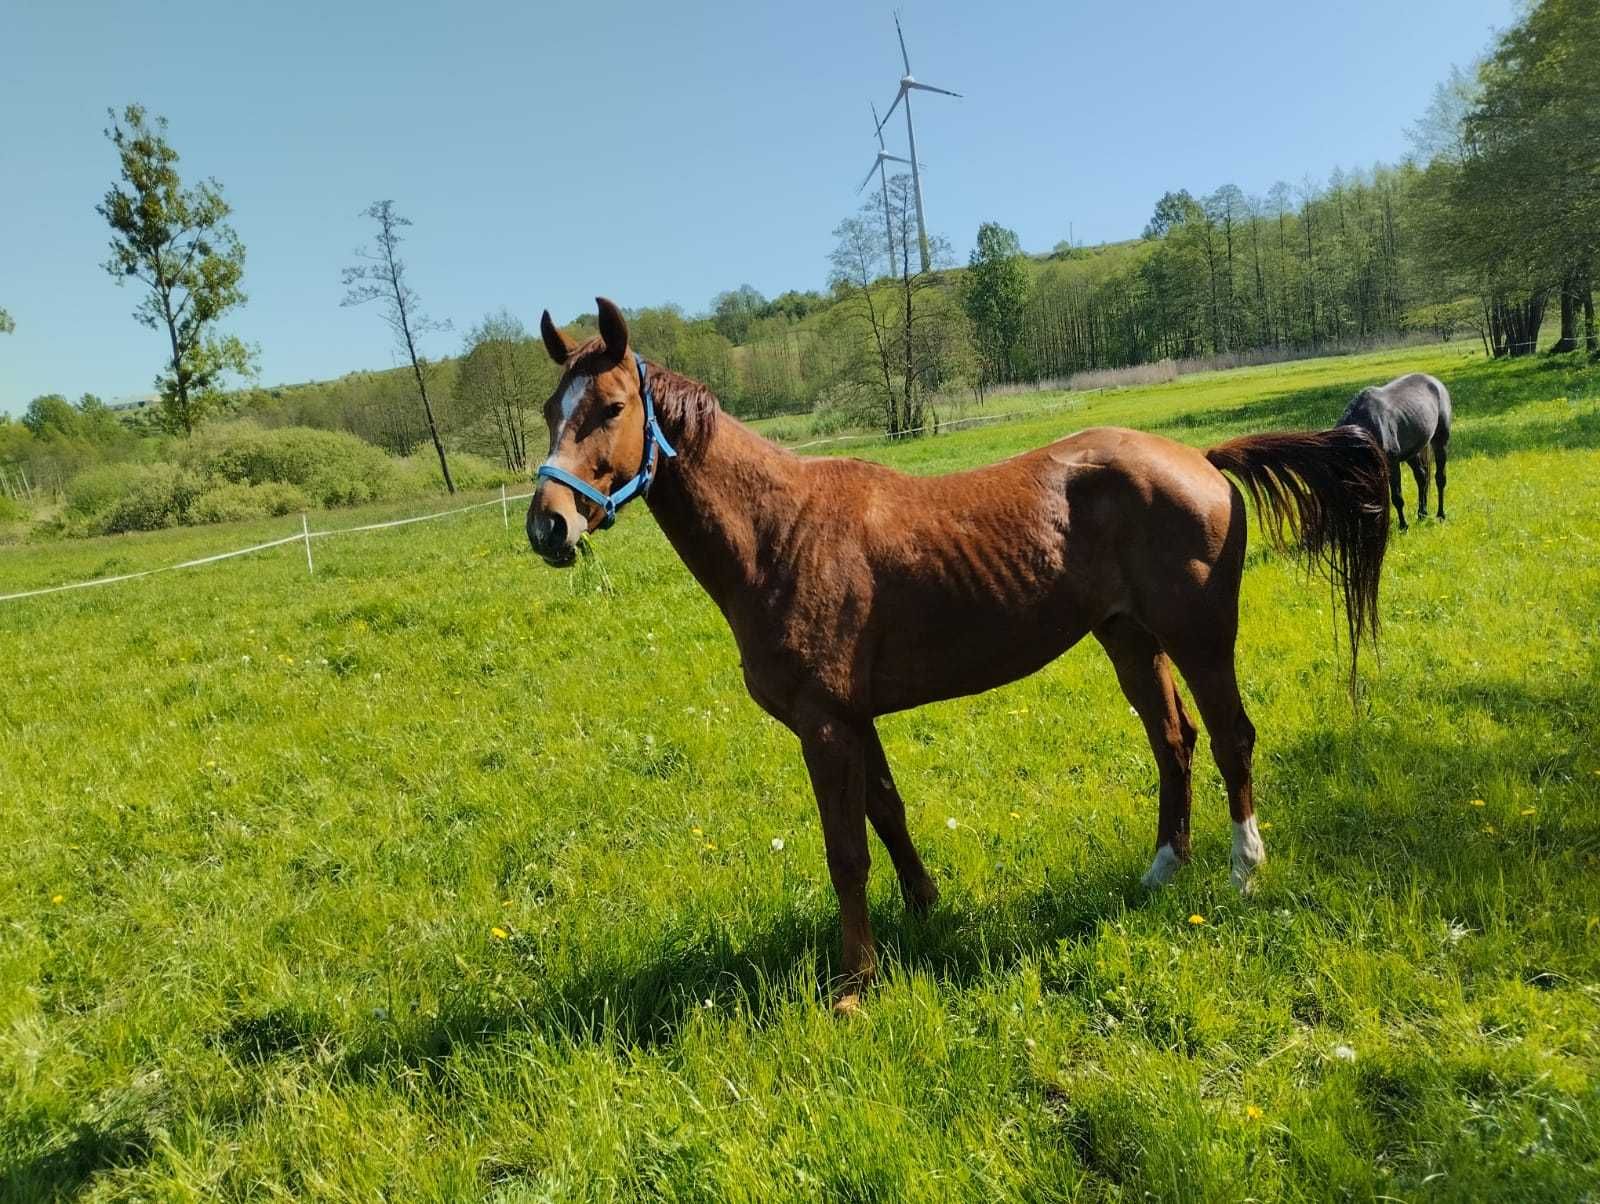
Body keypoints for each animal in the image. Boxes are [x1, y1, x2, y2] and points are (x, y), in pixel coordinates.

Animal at [528, 299, 1388, 1005]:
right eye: (547, 411)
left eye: (609, 407)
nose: (548, 526)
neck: (781, 532)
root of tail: (1200, 460)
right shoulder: (853, 717)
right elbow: (887, 814)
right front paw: (924, 910)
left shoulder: (824, 724)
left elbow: (846, 850)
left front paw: (855, 982)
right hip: (1130, 639)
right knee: (1173, 741)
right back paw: (1161, 868)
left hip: (1200, 639)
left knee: (1232, 737)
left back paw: (1245, 868)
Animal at [1337, 374, 1452, 528]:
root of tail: (1435, 382)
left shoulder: (1392, 464)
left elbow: (1396, 497)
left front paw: (1403, 526)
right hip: (1412, 453)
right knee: (1422, 477)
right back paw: (1422, 514)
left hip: (1440, 442)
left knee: (1440, 478)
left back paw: (1440, 515)